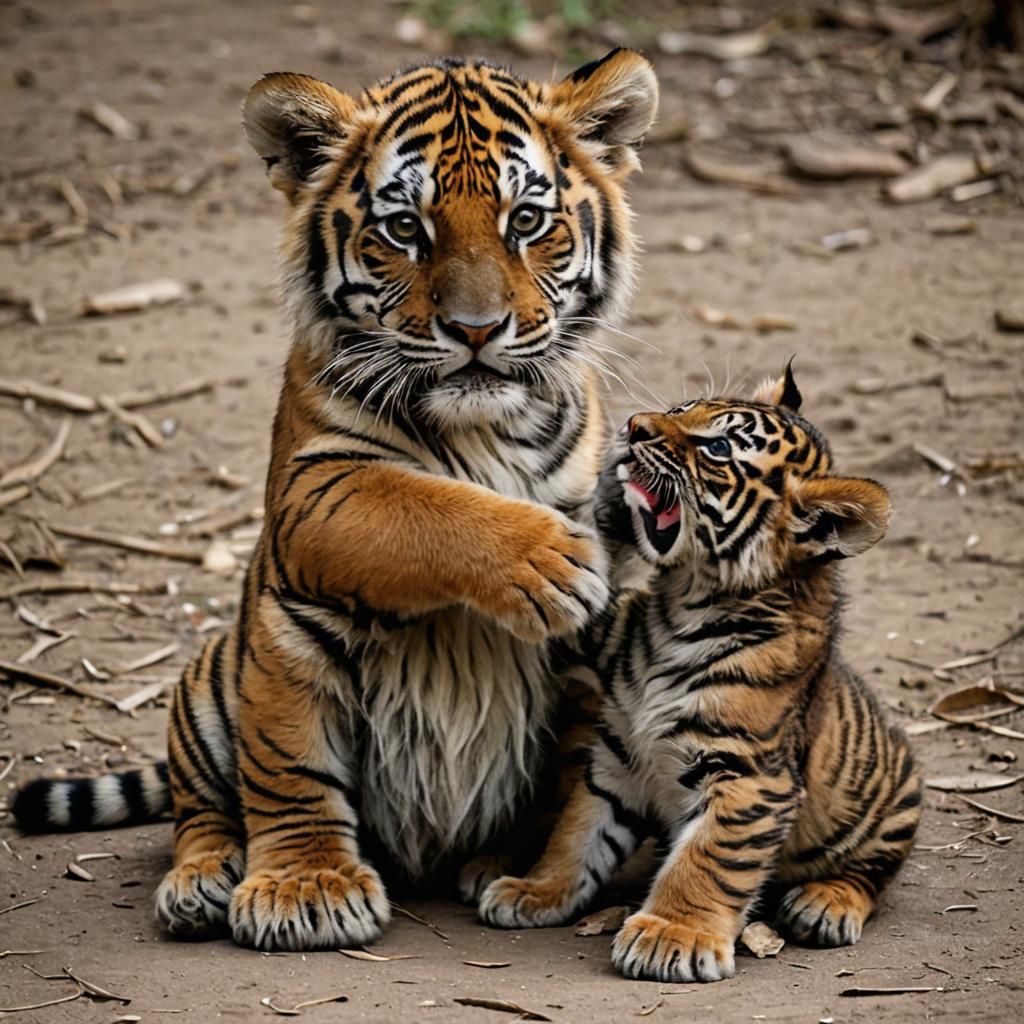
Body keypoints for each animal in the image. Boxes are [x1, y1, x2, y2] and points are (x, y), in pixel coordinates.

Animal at [11, 50, 659, 951]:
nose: (476, 329)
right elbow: (417, 506)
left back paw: (502, 861)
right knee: (224, 801)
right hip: (225, 674)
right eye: (405, 229)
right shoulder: (312, 495)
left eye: (527, 221)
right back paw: (222, 882)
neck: (479, 427)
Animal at [477, 365, 923, 983]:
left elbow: (706, 860)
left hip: (893, 802)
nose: (635, 426)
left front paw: (671, 936)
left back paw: (825, 904)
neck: (682, 604)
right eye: (683, 408)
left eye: (718, 448)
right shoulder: (620, 756)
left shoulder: (749, 775)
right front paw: (535, 890)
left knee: (871, 873)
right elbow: (576, 834)